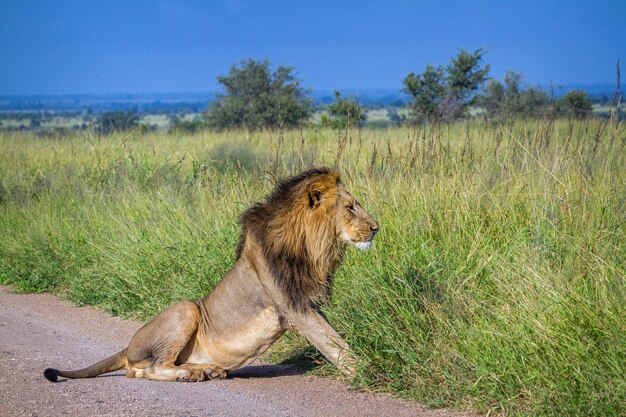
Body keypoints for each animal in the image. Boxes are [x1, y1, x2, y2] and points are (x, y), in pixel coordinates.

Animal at [44, 167, 378, 382]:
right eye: (350, 207)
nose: (376, 227)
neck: (310, 249)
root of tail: (128, 345)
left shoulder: (308, 302)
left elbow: (334, 339)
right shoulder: (294, 307)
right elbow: (334, 344)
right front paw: (370, 371)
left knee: (136, 371)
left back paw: (207, 370)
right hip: (187, 308)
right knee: (153, 367)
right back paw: (192, 373)